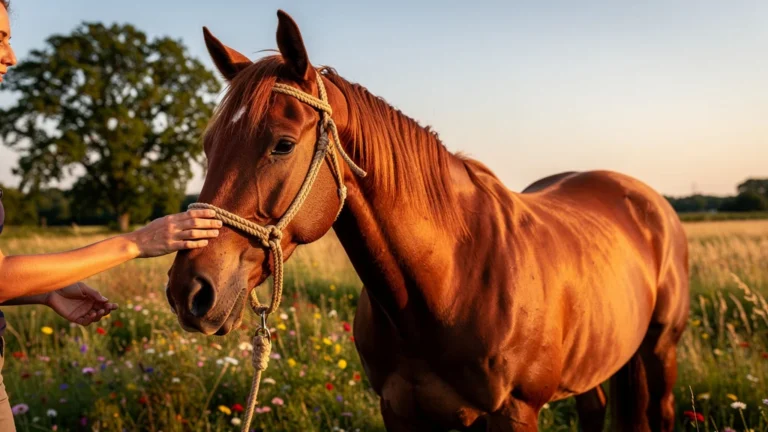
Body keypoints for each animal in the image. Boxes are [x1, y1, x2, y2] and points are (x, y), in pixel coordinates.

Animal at [166, 10, 690, 431]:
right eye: (209, 145)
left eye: (283, 144)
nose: (189, 290)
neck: (449, 283)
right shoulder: (399, 411)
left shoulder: (515, 412)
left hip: (660, 350)